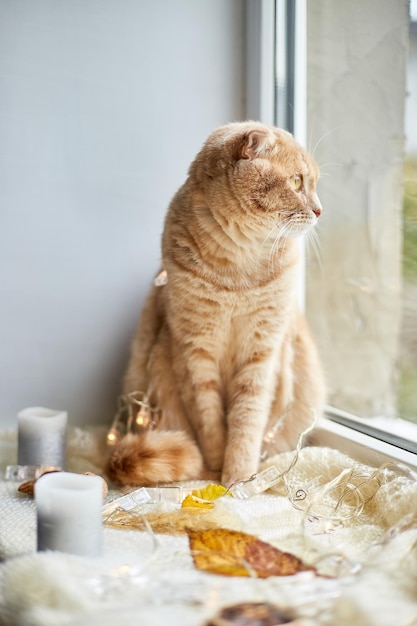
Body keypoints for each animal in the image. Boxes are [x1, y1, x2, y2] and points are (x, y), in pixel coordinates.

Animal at [106, 119, 324, 486]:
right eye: (297, 182)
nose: (320, 210)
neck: (237, 270)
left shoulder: (262, 356)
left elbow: (248, 422)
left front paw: (238, 478)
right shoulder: (194, 354)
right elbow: (209, 423)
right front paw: (214, 472)